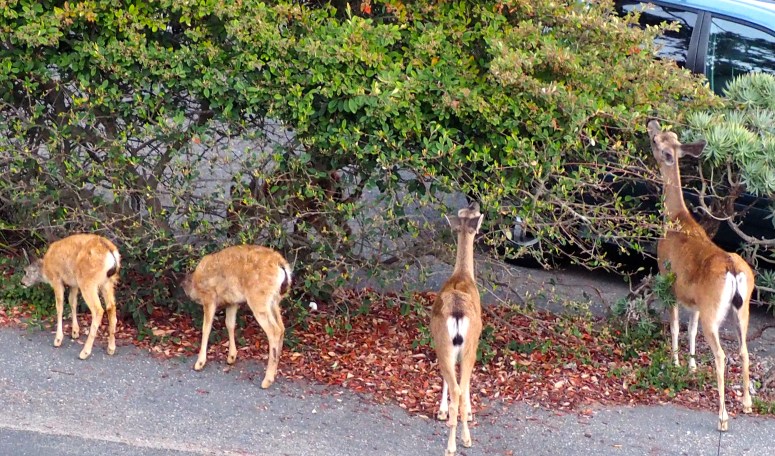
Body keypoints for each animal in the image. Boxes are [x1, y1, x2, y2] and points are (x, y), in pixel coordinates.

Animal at [181, 244, 291, 389]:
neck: (195, 282)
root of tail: (281, 265)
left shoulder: (209, 297)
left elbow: (206, 328)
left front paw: (199, 363)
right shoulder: (232, 302)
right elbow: (230, 324)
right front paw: (231, 357)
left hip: (258, 298)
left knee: (274, 330)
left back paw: (267, 380)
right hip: (274, 300)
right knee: (282, 327)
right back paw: (274, 371)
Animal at [647, 119, 754, 431]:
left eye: (657, 141)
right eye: (667, 135)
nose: (651, 123)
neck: (675, 219)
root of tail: (732, 269)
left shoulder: (667, 280)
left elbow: (674, 325)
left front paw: (675, 363)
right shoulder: (693, 300)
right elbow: (690, 329)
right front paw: (692, 365)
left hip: (712, 309)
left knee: (721, 355)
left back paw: (723, 417)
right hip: (741, 308)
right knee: (743, 350)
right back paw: (746, 403)